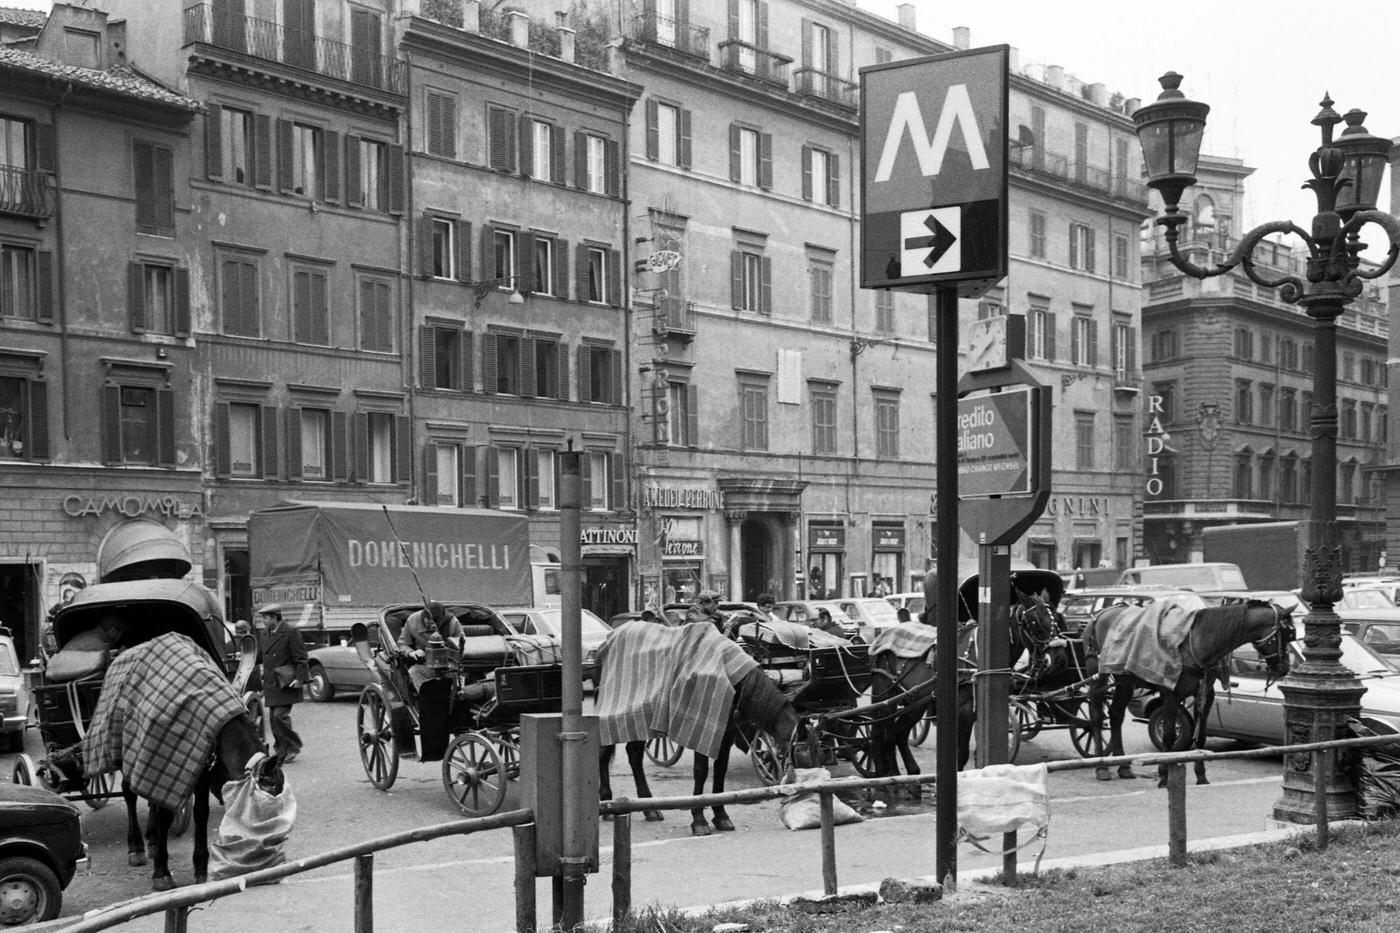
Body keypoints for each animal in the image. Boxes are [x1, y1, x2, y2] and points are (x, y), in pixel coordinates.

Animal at [590, 622, 800, 829]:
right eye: (789, 739)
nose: (793, 775)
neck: (733, 680)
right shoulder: (700, 732)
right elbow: (701, 771)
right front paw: (699, 819)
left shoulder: (726, 734)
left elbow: (720, 770)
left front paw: (720, 815)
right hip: (614, 715)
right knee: (603, 753)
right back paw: (607, 803)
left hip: (640, 722)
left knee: (633, 755)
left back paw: (649, 808)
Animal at [1086, 596, 1293, 784]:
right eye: (1286, 633)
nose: (1284, 667)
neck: (1199, 641)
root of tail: (1101, 614)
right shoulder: (1170, 694)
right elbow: (1169, 735)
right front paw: (1164, 775)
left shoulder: (1206, 694)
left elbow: (1200, 737)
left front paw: (1201, 775)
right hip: (1099, 678)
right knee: (1096, 716)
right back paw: (1101, 767)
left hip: (1125, 682)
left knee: (1116, 715)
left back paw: (1123, 766)